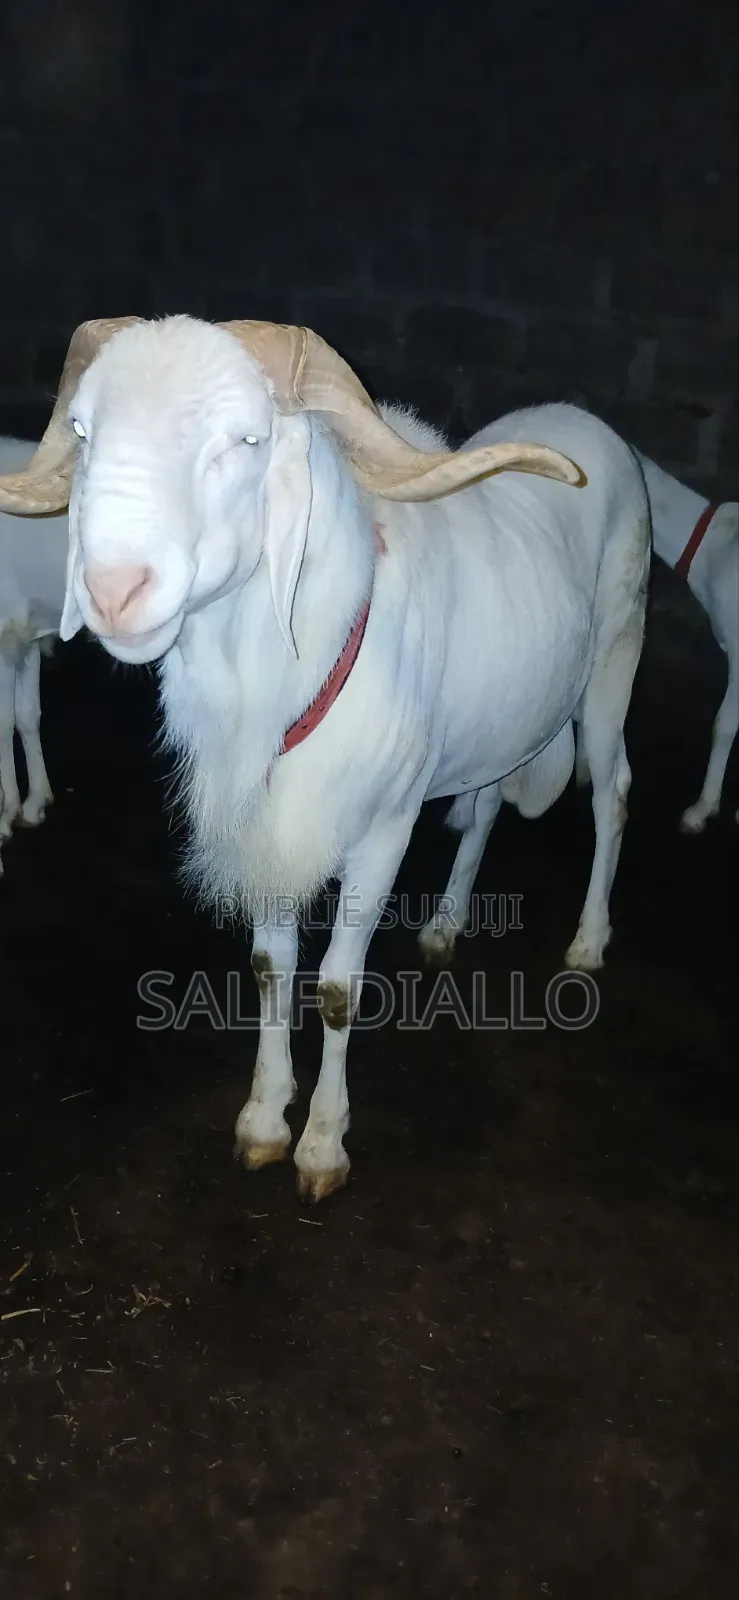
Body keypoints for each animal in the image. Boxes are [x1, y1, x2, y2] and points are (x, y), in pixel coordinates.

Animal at [1, 315, 651, 1199]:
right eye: (81, 428)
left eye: (246, 437)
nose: (114, 592)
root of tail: (589, 426)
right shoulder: (267, 825)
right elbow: (271, 969)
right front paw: (263, 1123)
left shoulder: (382, 830)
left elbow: (340, 989)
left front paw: (320, 1149)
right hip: (500, 720)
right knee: (485, 803)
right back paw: (444, 925)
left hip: (612, 668)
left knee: (610, 794)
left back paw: (587, 943)